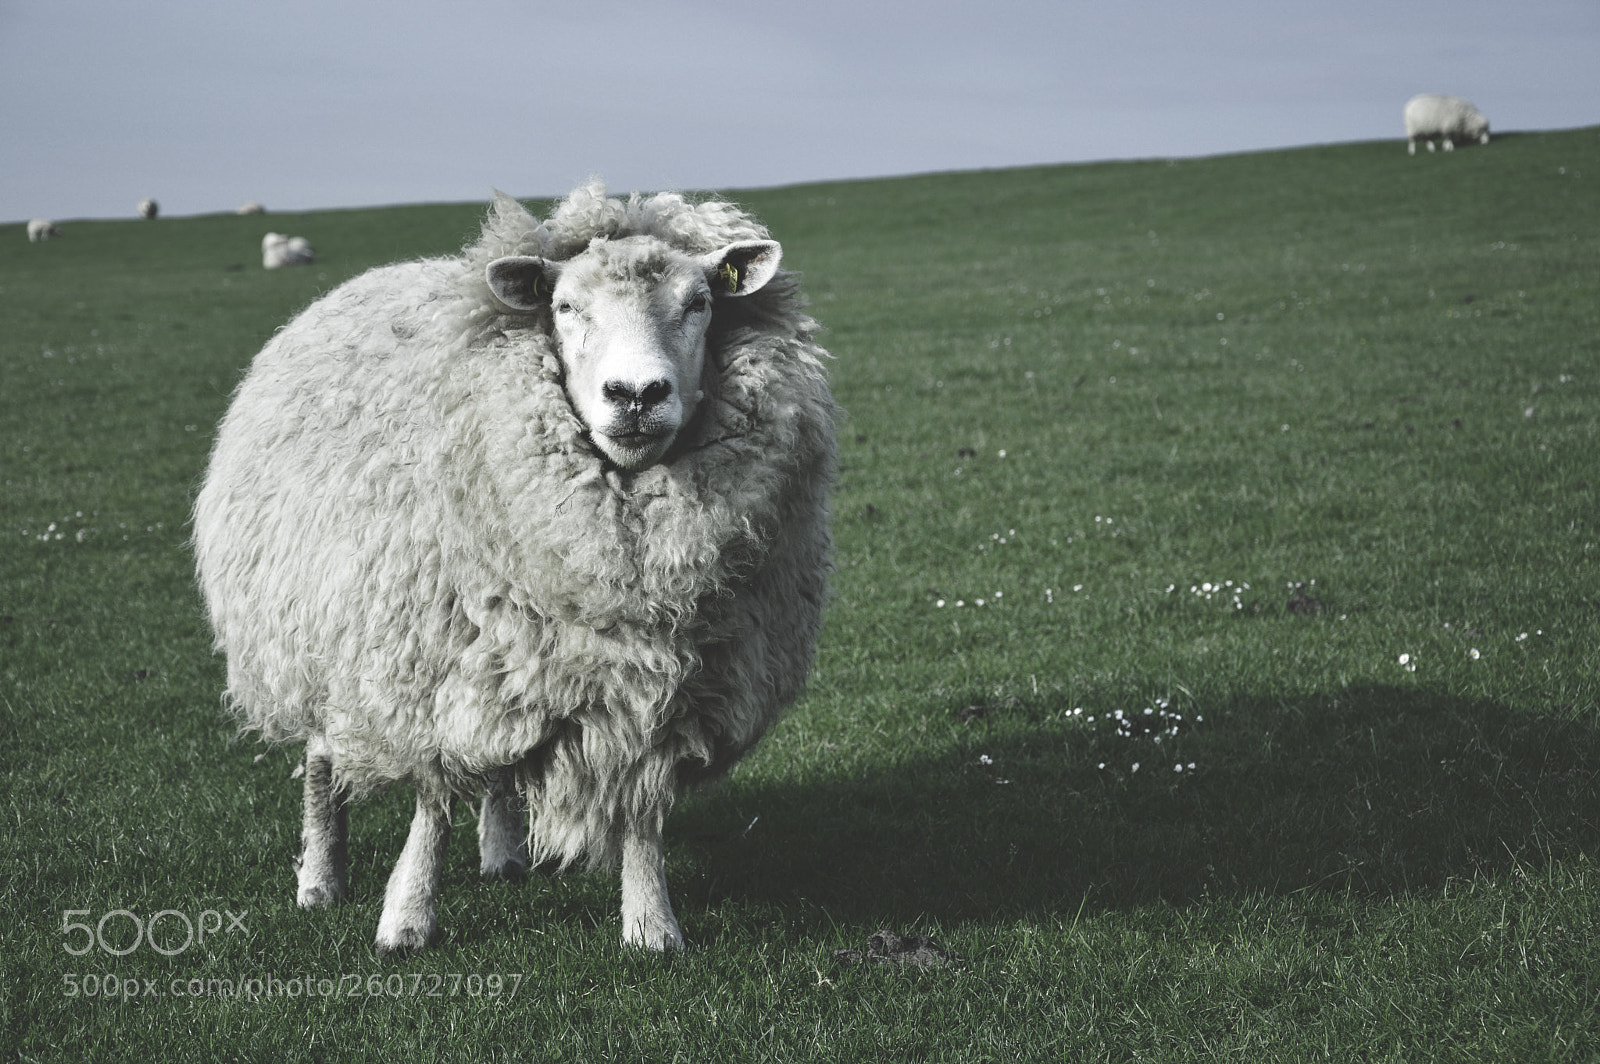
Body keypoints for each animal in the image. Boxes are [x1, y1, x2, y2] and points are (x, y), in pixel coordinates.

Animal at [193, 181, 837, 953]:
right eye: (565, 308)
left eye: (701, 303)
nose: (636, 395)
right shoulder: (428, 668)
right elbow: (432, 803)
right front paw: (407, 917)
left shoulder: (665, 688)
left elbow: (642, 805)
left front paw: (652, 924)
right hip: (321, 635)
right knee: (323, 758)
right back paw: (320, 878)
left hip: (506, 658)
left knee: (496, 764)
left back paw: (501, 852)